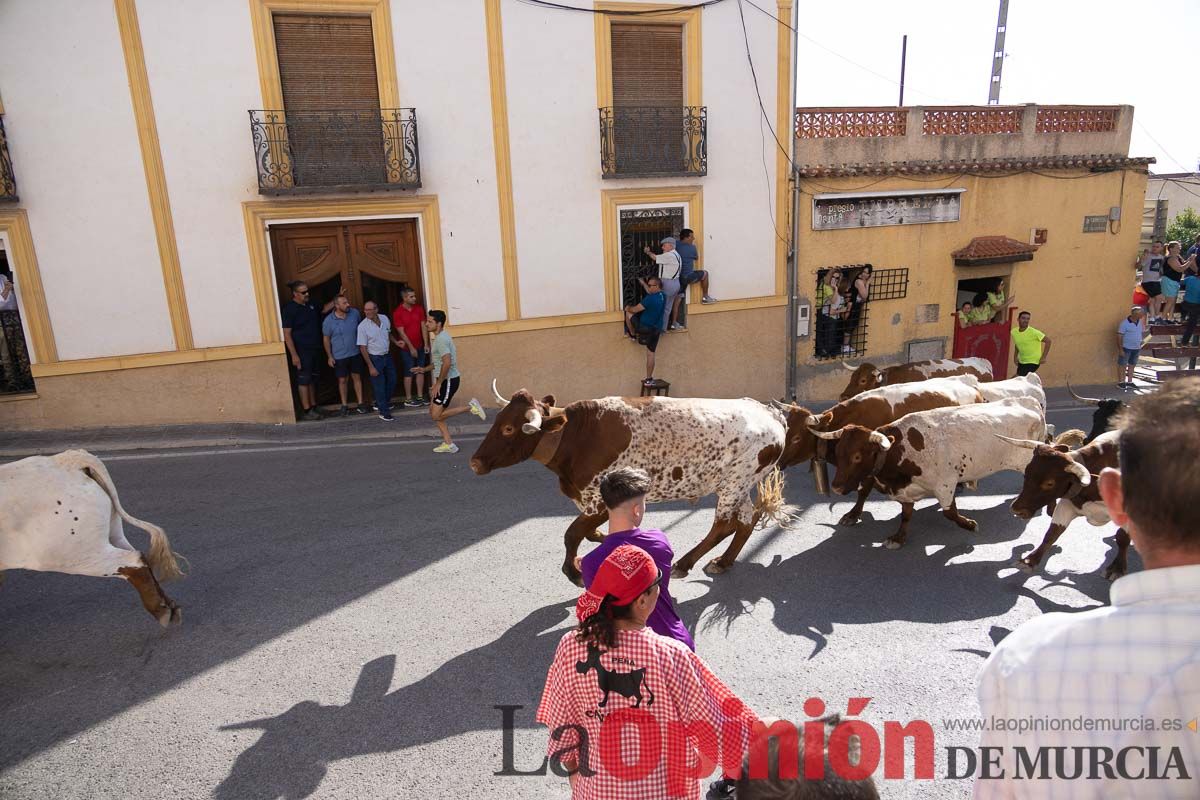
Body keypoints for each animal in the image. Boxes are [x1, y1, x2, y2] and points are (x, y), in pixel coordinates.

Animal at [1, 450, 183, 623]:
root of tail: (64, 461)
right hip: (110, 536)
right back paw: (168, 606)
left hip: (70, 554)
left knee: (134, 560)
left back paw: (161, 611)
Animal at [470, 383, 806, 585]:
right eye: (497, 421)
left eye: (509, 428)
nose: (475, 462)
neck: (577, 436)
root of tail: (769, 412)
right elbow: (588, 532)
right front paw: (600, 541)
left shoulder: (598, 500)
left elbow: (572, 533)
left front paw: (574, 571)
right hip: (741, 483)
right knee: (747, 519)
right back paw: (723, 562)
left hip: (733, 483)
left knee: (723, 525)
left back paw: (686, 563)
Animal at [820, 395, 1046, 546]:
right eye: (838, 452)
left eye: (857, 457)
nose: (836, 487)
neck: (901, 450)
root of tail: (1029, 401)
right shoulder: (907, 489)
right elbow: (906, 514)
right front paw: (899, 537)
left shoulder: (945, 484)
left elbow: (950, 513)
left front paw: (969, 524)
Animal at [998, 429, 1128, 578]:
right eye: (1026, 474)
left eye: (1049, 483)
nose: (1016, 509)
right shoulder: (1067, 505)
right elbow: (1052, 533)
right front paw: (1029, 561)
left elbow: (1122, 537)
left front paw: (1116, 568)